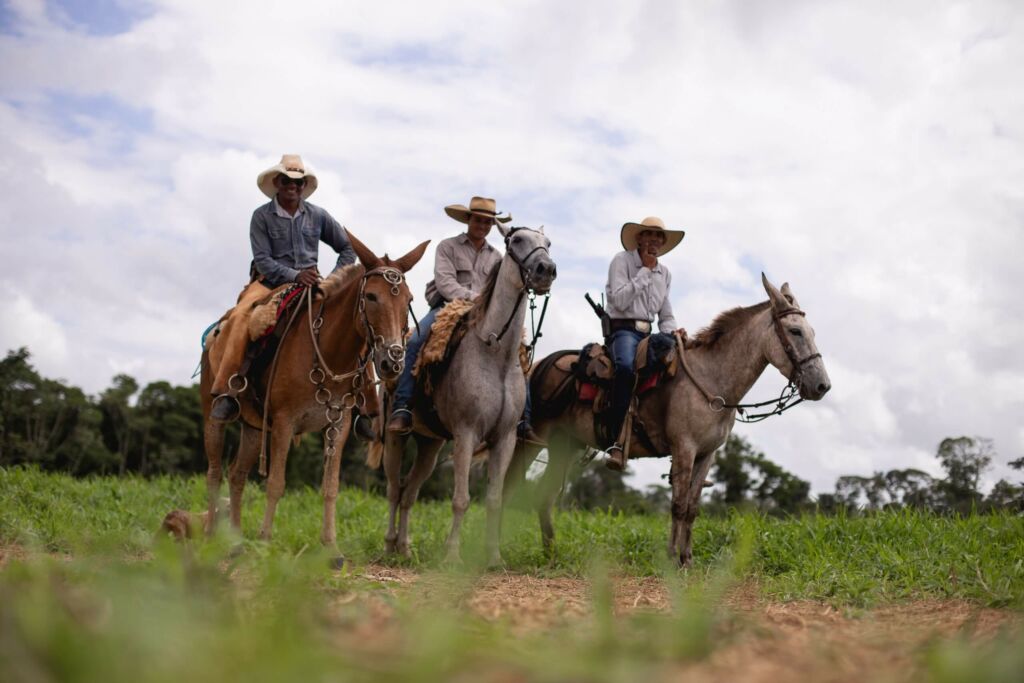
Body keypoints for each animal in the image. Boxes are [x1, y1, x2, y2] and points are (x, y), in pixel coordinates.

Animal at [199, 235, 428, 557]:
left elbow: (330, 487)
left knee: (236, 474)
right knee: (215, 472)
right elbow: (276, 483)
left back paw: (235, 541)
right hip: (213, 414)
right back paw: (210, 536)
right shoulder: (284, 423)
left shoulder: (338, 424)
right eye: (371, 296)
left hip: (254, 426)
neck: (328, 350)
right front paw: (265, 542)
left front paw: (331, 548)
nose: (392, 360)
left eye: (408, 300)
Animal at [512, 272, 831, 565]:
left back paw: (551, 555)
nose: (822, 386)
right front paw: (670, 559)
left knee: (544, 496)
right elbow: (677, 504)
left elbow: (691, 507)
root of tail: (537, 365)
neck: (711, 378)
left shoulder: (707, 454)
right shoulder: (684, 448)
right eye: (795, 331)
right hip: (531, 440)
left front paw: (687, 558)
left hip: (565, 446)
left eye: (814, 332)